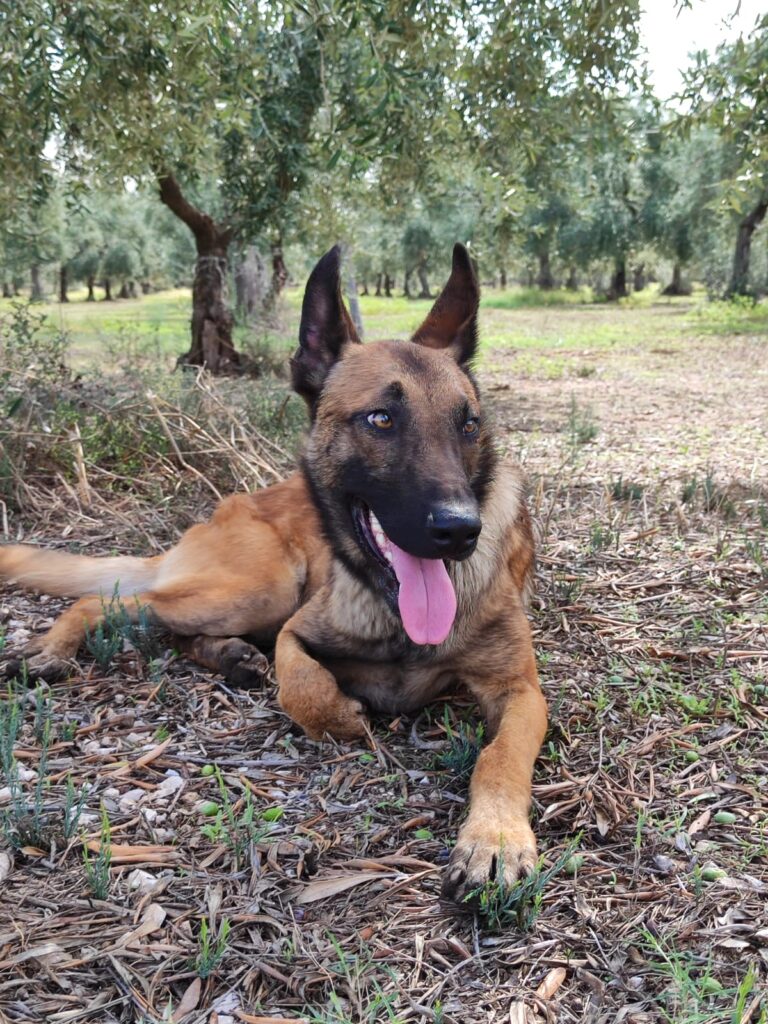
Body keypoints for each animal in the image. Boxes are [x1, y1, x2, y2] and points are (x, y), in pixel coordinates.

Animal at [3, 243, 548, 901]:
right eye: (381, 420)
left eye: (467, 424)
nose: (460, 530)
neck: (394, 616)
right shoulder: (297, 629)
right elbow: (302, 684)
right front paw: (342, 714)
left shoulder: (521, 692)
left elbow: (501, 758)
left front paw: (495, 838)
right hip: (266, 588)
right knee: (113, 603)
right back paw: (57, 649)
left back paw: (231, 656)